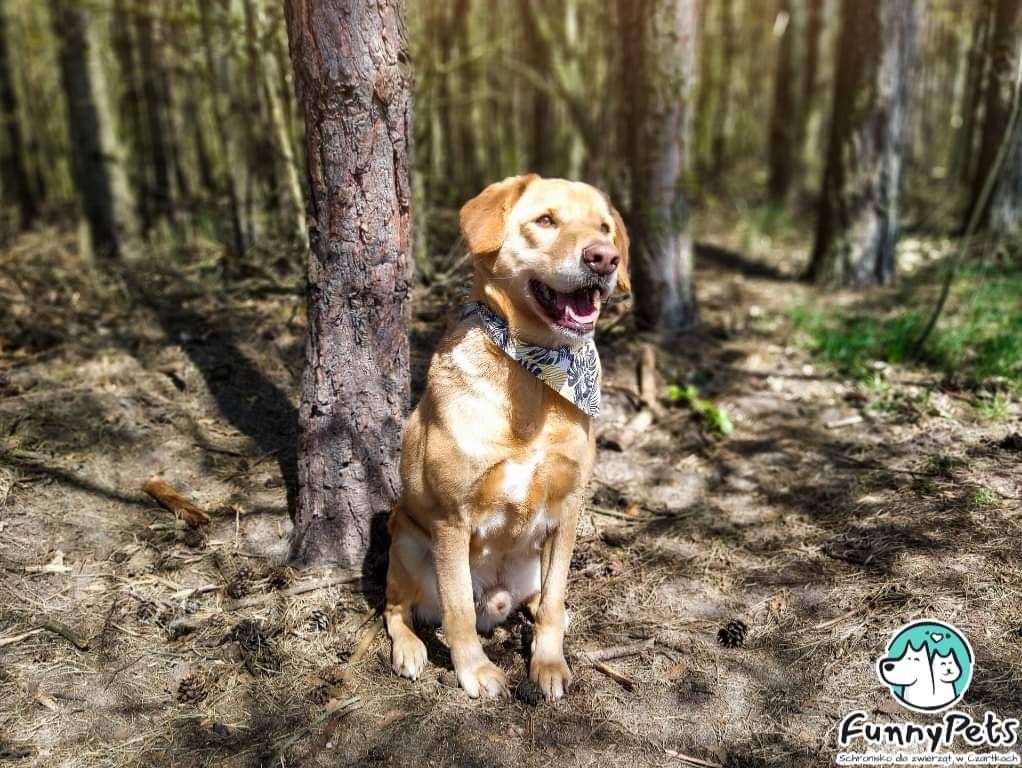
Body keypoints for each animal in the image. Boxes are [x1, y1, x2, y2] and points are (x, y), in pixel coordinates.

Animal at [382, 175, 625, 703]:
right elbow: (456, 611)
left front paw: (548, 663)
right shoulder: (451, 521)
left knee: (541, 598)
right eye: (546, 220)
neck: (536, 377)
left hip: (533, 561)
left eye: (604, 228)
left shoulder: (567, 512)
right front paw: (474, 671)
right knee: (397, 609)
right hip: (406, 539)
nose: (604, 258)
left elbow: (554, 599)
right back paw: (410, 649)